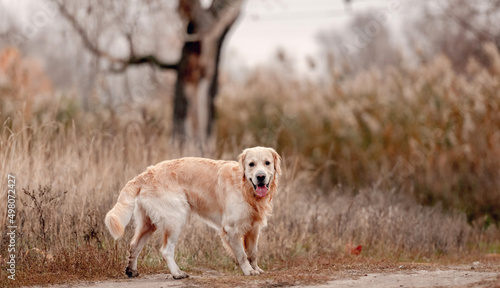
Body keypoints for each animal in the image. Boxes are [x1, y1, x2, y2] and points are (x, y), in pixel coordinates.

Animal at [104, 146, 282, 280]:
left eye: (267, 163)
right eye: (251, 164)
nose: (260, 176)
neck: (245, 188)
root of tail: (145, 174)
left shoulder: (254, 228)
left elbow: (252, 253)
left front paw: (256, 269)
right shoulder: (231, 230)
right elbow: (242, 254)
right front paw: (248, 271)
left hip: (148, 223)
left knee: (134, 245)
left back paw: (131, 271)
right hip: (175, 219)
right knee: (166, 250)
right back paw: (177, 273)